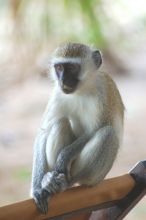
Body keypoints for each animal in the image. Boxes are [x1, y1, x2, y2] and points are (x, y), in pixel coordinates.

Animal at [31, 42, 124, 213]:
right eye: (59, 67)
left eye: (73, 68)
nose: (62, 81)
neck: (82, 88)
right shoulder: (57, 94)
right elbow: (43, 133)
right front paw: (37, 189)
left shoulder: (103, 92)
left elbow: (97, 128)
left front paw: (65, 155)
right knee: (59, 123)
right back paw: (50, 181)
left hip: (96, 177)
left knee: (107, 134)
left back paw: (65, 183)